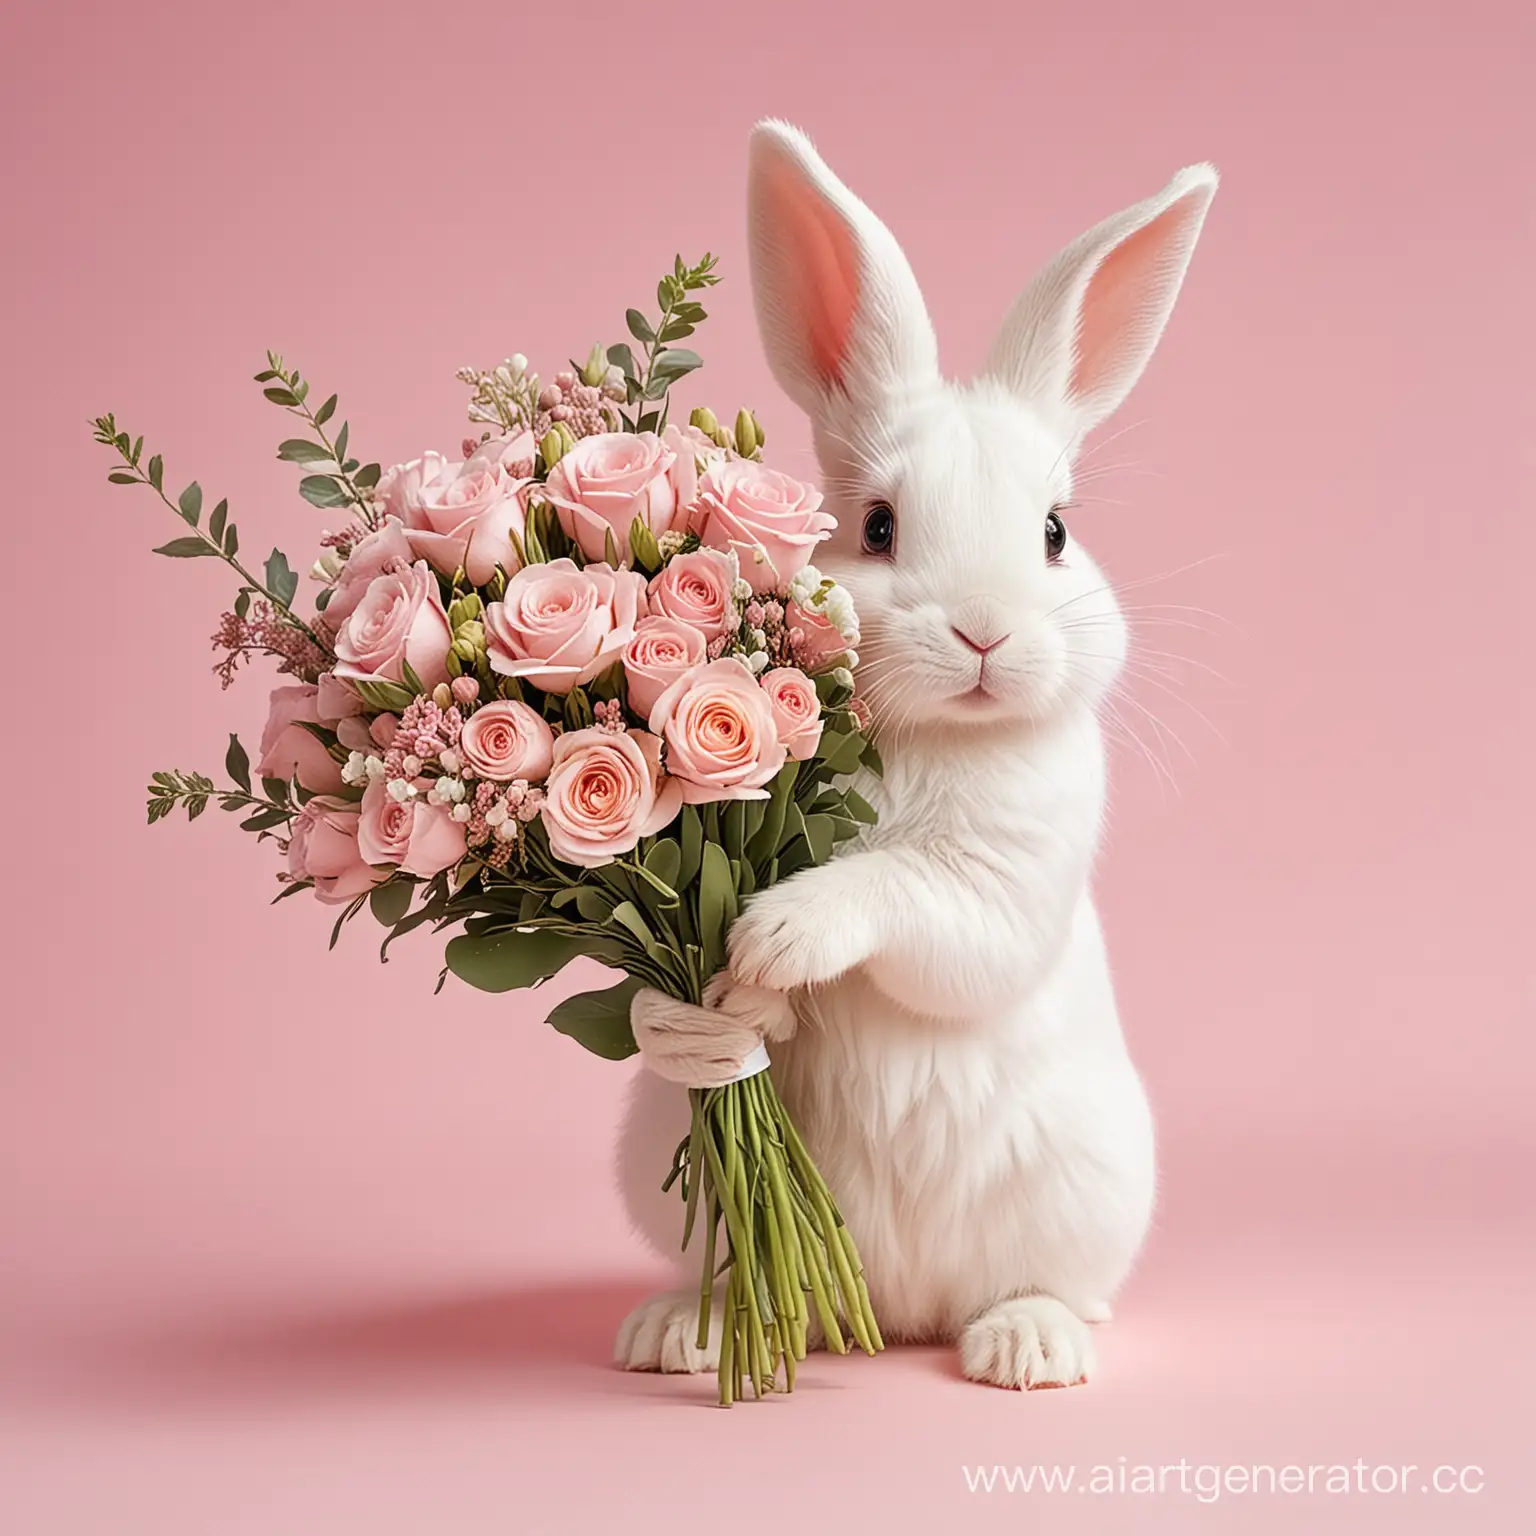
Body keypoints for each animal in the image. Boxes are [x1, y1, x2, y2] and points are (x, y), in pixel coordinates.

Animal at [611, 125, 1210, 1388]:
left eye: (1055, 532)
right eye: (878, 527)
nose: (982, 632)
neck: (940, 735)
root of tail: (894, 1311)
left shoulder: (995, 888)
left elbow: (904, 898)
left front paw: (776, 938)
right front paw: (716, 1010)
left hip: (1084, 1189)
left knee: (1050, 1290)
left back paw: (1024, 1349)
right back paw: (682, 1332)